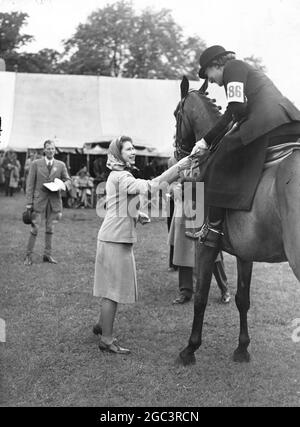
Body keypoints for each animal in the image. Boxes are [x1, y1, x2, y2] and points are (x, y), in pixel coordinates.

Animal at [175, 76, 300, 364]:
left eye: (176, 114)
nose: (178, 153)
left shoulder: (204, 246)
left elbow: (200, 297)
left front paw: (190, 348)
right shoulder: (245, 252)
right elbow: (243, 298)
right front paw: (242, 348)